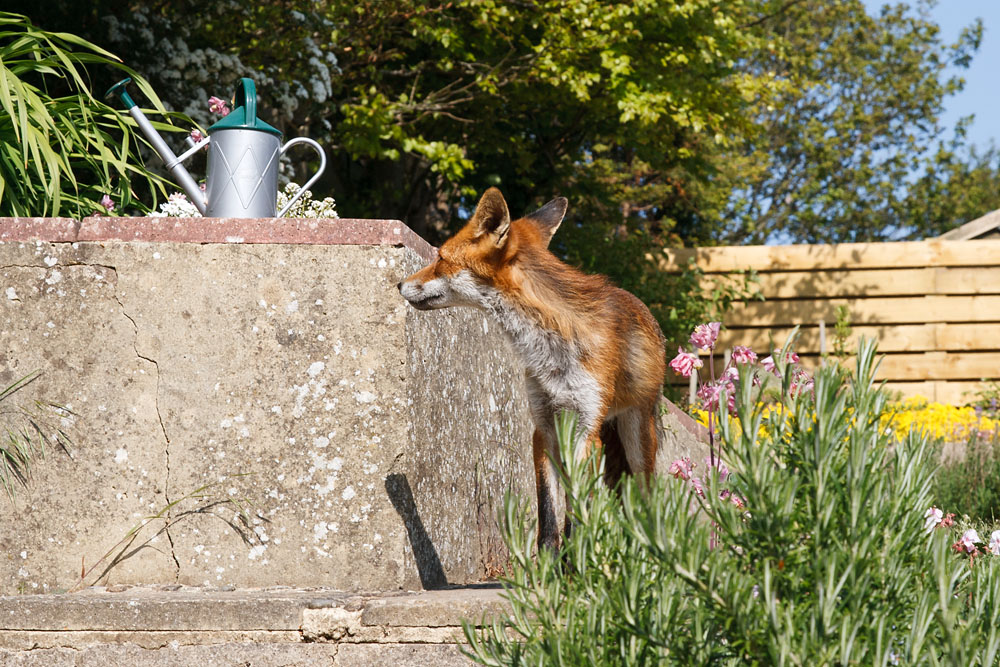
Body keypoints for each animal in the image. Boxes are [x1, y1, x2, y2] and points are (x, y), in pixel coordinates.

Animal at [397, 187, 666, 550]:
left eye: (440, 257)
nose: (399, 284)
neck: (551, 352)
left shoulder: (586, 430)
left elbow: (578, 513)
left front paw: (578, 560)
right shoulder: (544, 427)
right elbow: (549, 520)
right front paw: (551, 564)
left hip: (636, 437)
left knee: (643, 497)